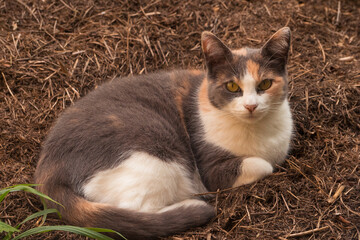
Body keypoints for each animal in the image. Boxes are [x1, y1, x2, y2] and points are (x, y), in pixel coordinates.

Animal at [34, 27, 292, 239]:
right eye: (232, 87)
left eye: (265, 84)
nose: (251, 106)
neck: (256, 132)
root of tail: (48, 165)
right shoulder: (211, 168)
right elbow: (263, 164)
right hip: (153, 152)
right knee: (137, 211)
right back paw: (192, 204)